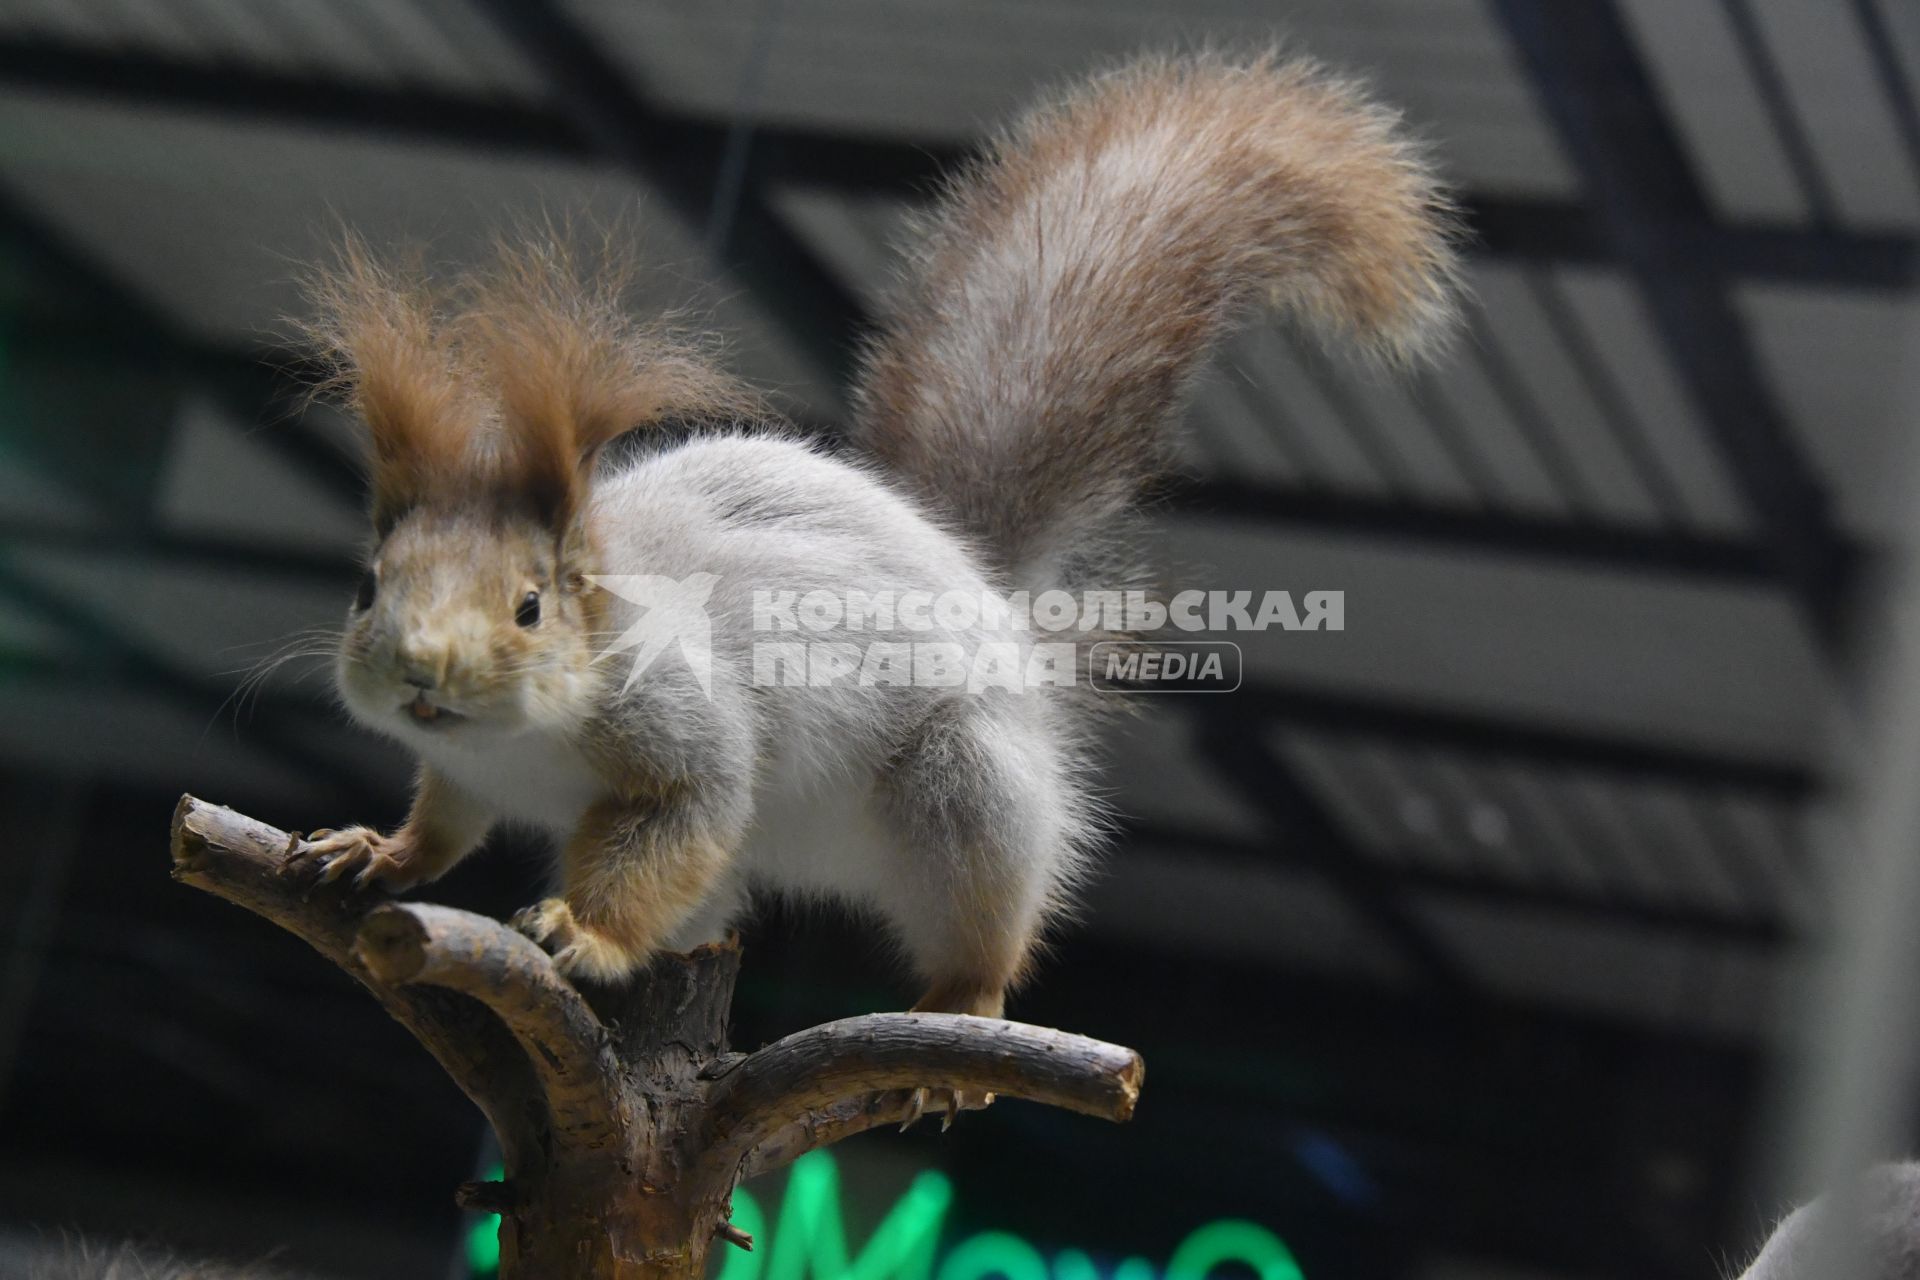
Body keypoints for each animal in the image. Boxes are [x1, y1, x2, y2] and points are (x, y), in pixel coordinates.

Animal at [280, 50, 1451, 1036]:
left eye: (531, 605)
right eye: (367, 589)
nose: (420, 670)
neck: (517, 742)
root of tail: (987, 587)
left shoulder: (682, 725)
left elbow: (682, 821)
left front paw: (590, 933)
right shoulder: (461, 770)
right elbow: (446, 820)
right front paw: (377, 850)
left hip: (967, 789)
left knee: (982, 910)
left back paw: (962, 1001)